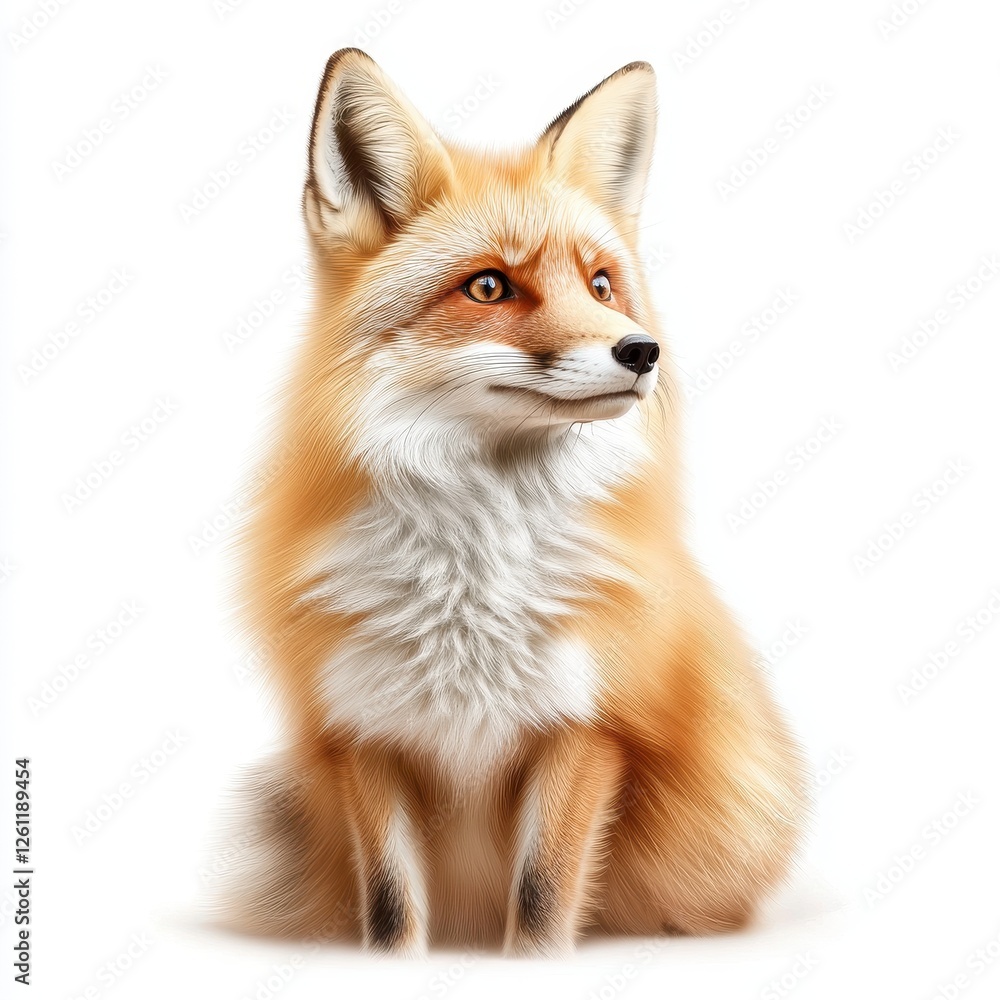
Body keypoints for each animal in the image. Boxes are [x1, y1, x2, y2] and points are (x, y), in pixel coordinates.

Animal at [215, 48, 807, 956]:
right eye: (489, 287)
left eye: (601, 285)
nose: (643, 352)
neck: (473, 579)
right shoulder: (363, 733)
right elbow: (390, 907)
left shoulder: (585, 728)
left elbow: (541, 898)